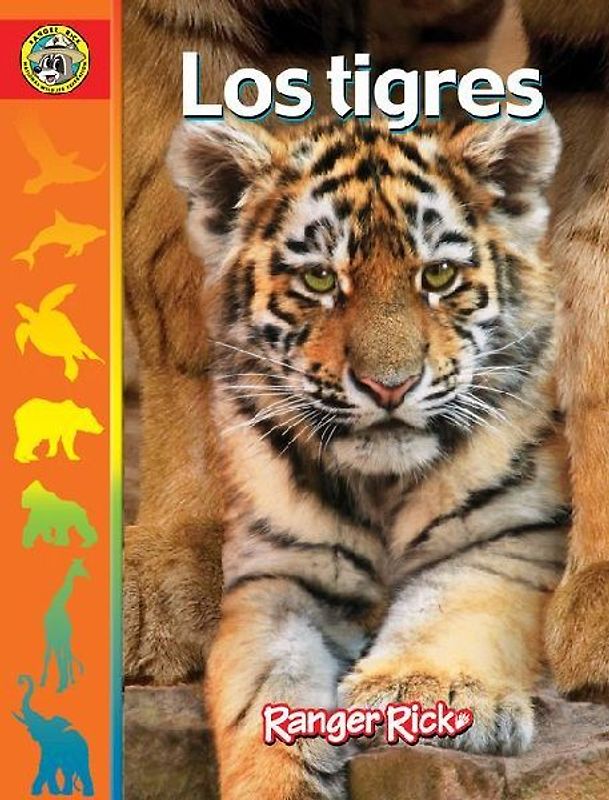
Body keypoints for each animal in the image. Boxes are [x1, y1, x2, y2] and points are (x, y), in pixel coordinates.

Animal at [167, 113, 569, 799]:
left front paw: (421, 690)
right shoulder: (277, 575)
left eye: (438, 276)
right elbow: (266, 684)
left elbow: (453, 604)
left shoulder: (511, 536)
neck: (381, 485)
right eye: (320, 280)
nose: (389, 387)